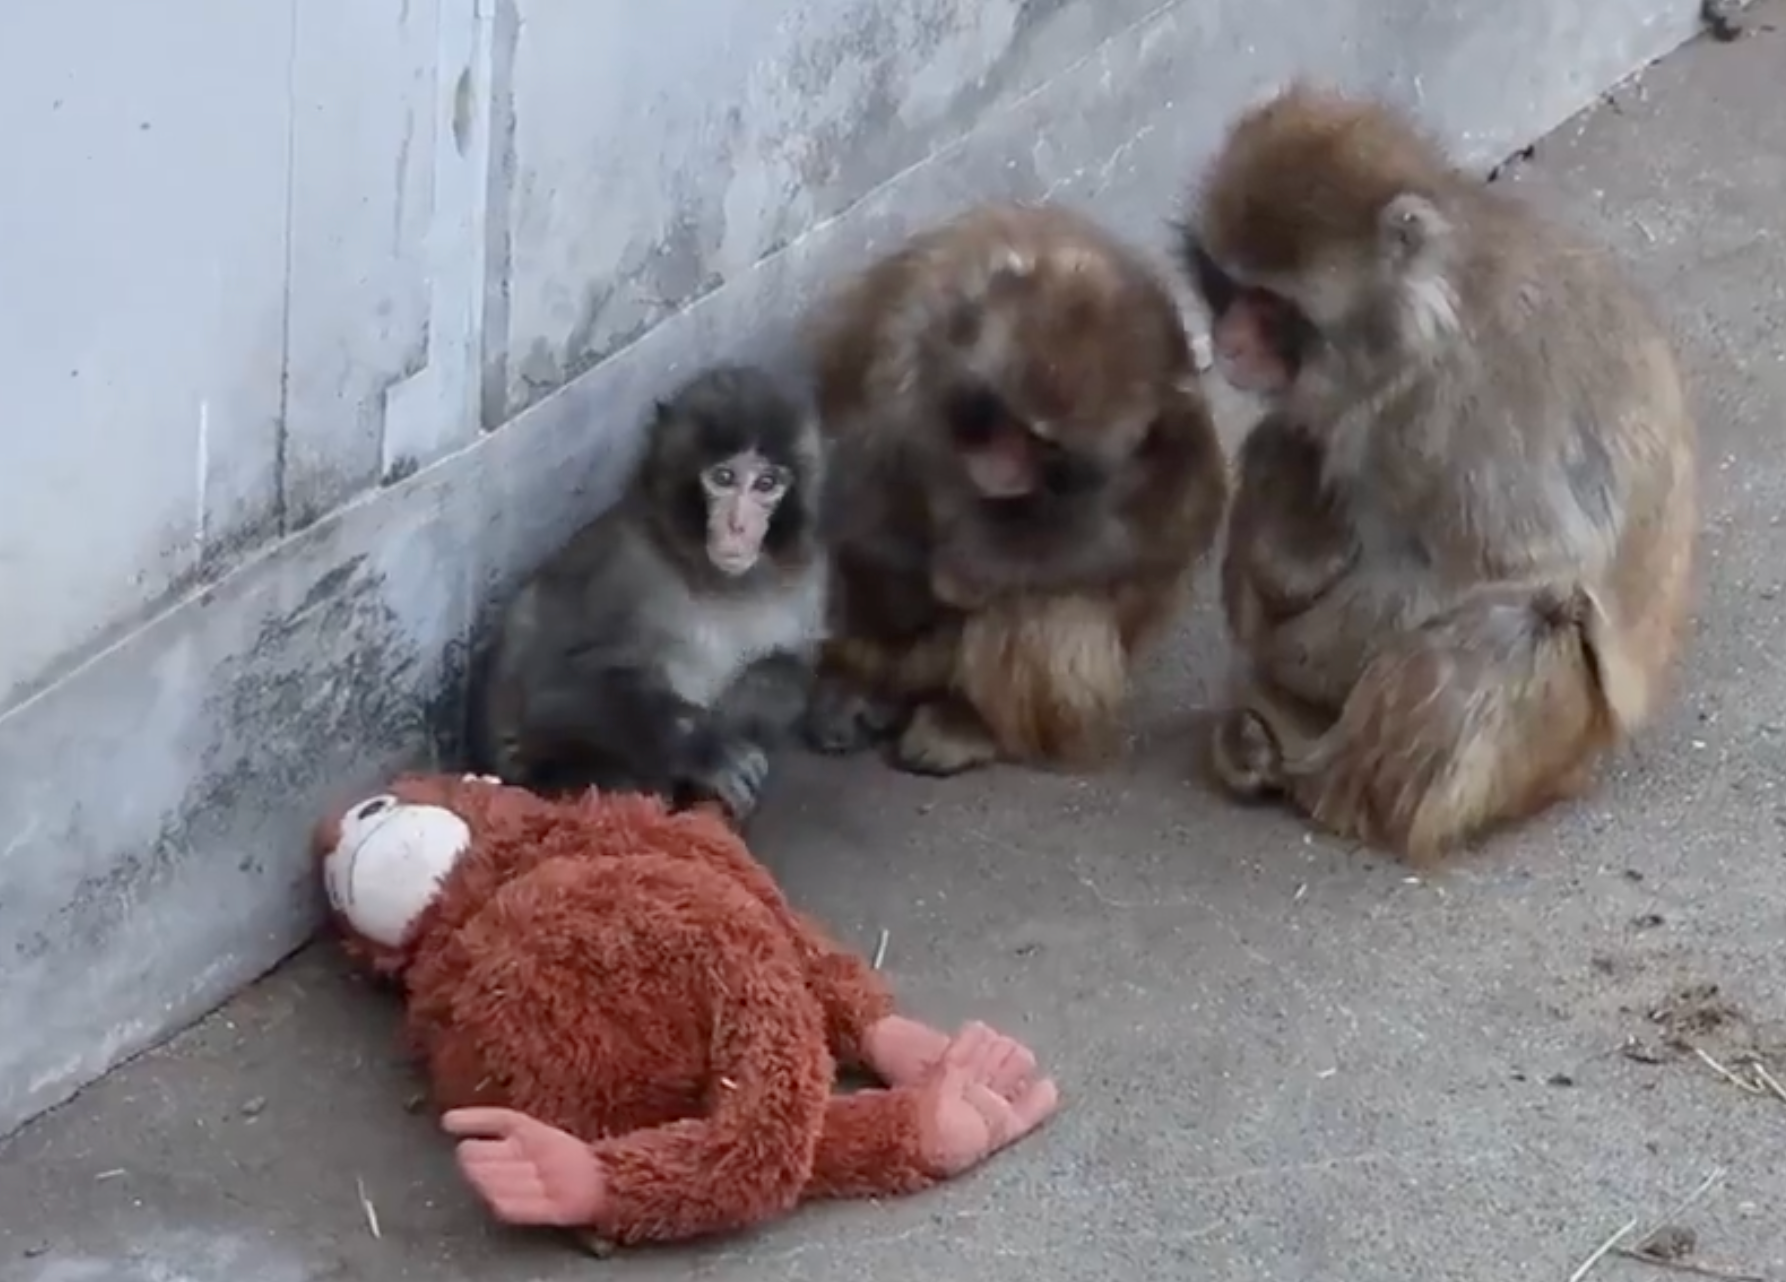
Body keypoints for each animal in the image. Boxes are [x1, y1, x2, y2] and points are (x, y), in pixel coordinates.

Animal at [470, 364, 827, 827]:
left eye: (767, 483)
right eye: (724, 478)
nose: (738, 526)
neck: (715, 579)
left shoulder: (807, 583)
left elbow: (789, 670)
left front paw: (737, 718)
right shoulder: (625, 568)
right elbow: (553, 685)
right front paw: (705, 748)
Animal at [799, 201, 1230, 777]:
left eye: (1045, 446)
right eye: (1004, 417)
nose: (1003, 468)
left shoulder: (1173, 405)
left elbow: (1178, 516)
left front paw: (971, 568)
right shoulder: (904, 323)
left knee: (1048, 602)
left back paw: (969, 723)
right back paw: (857, 681)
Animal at [1176, 82, 1699, 863]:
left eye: (1271, 306)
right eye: (1227, 286)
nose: (1230, 340)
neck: (1419, 323)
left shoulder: (1453, 409)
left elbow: (1513, 564)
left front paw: (1288, 655)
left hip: (1550, 750)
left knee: (1517, 627)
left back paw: (1329, 789)